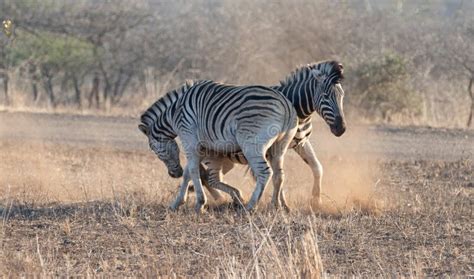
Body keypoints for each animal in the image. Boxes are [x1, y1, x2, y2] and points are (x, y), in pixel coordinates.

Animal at [139, 80, 298, 213]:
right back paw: (276, 206)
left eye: (154, 150)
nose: (174, 174)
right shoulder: (203, 146)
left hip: (252, 144)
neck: (174, 113)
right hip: (279, 147)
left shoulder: (189, 137)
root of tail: (284, 103)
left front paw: (199, 203)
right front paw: (177, 203)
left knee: (265, 172)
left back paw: (250, 207)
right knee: (279, 175)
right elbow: (189, 173)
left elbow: (193, 171)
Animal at [200, 61, 344, 210]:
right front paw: (280, 204)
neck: (297, 109)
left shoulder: (302, 143)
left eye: (342, 95)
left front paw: (316, 201)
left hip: (225, 158)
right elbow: (276, 176)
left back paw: (223, 198)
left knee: (207, 175)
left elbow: (317, 168)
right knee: (201, 174)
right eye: (326, 96)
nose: (341, 128)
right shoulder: (271, 149)